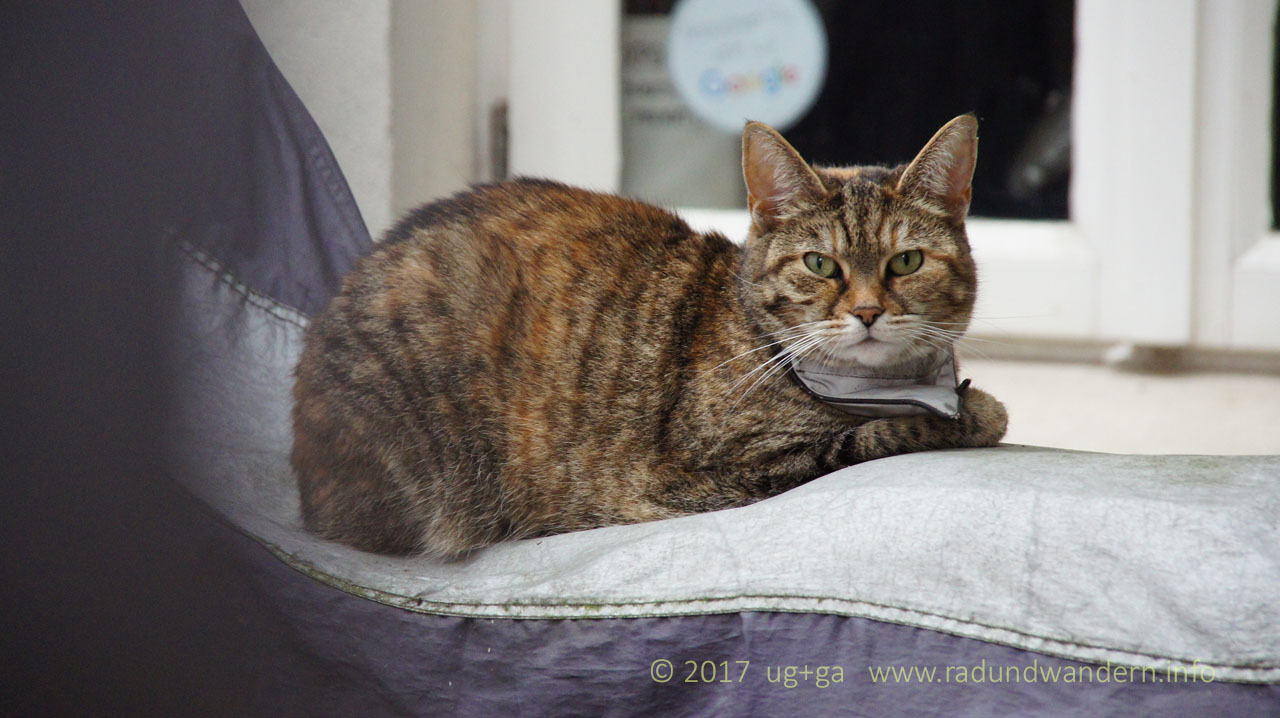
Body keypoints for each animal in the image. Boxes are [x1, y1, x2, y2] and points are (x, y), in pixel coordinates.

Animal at [292, 114, 1007, 558]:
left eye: (906, 262)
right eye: (820, 264)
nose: (866, 311)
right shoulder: (704, 478)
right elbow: (878, 434)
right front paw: (972, 410)